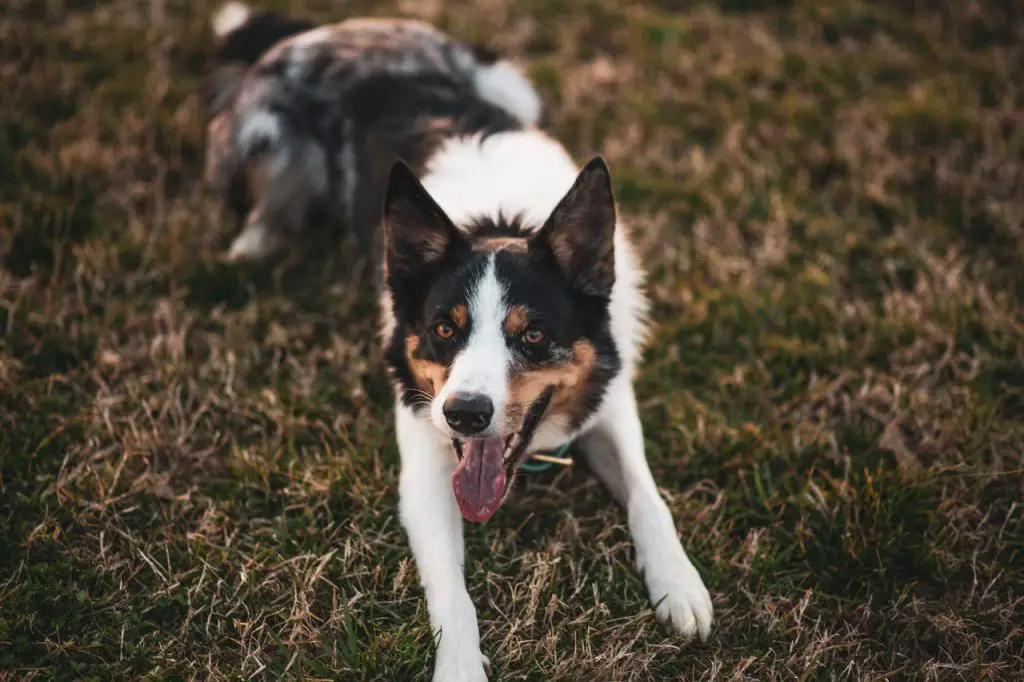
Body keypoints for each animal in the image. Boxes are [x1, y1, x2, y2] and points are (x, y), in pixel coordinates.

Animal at [199, 2, 712, 675]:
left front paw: (679, 584)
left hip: (508, 82)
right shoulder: (422, 461)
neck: (500, 222)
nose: (465, 414)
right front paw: (462, 668)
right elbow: (451, 590)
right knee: (269, 202)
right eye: (445, 328)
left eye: (534, 334)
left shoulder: (611, 396)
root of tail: (331, 29)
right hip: (261, 134)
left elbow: (649, 495)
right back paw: (252, 247)